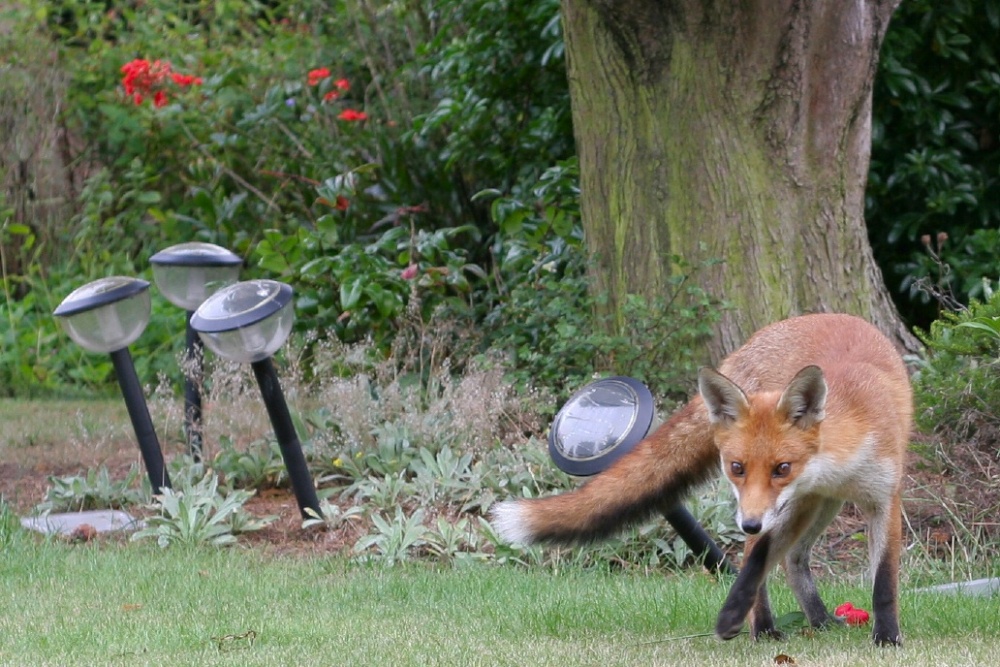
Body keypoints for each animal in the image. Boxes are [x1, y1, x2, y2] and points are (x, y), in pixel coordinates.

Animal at [491, 313, 911, 646]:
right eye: (737, 467)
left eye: (782, 468)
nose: (749, 523)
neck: (843, 456)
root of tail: (756, 340)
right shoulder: (783, 504)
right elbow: (755, 563)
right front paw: (733, 618)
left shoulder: (883, 499)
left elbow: (884, 583)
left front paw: (887, 637)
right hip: (799, 508)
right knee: (766, 555)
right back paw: (765, 627)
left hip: (819, 506)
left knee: (793, 559)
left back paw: (820, 621)